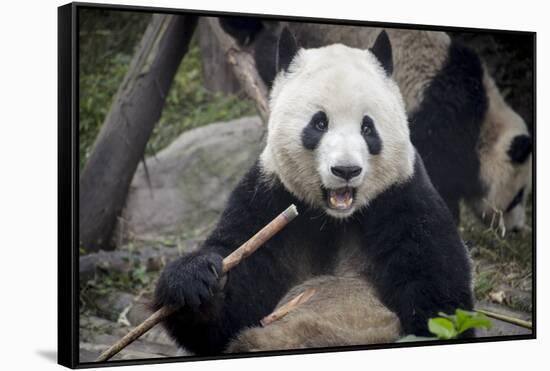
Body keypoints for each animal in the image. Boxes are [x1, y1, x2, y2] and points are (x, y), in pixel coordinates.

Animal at [154, 28, 474, 354]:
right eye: (319, 123)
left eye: (368, 128)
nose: (346, 170)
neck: (334, 219)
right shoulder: (268, 198)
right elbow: (228, 315)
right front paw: (198, 279)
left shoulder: (403, 198)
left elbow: (437, 291)